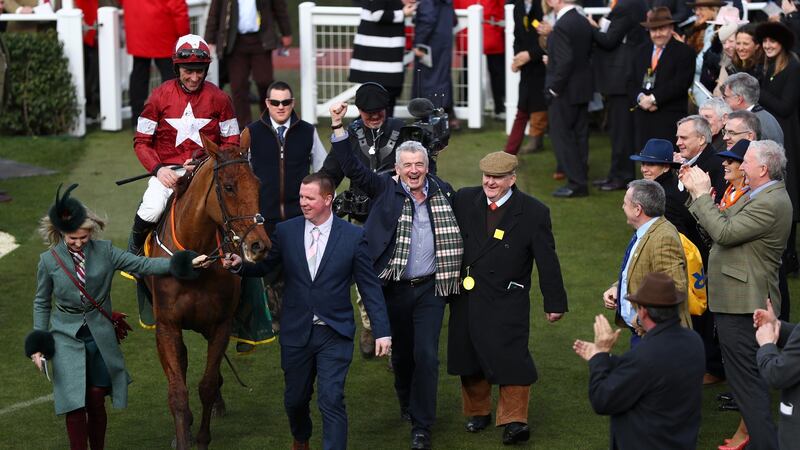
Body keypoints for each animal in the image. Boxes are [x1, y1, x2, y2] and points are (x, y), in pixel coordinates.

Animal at [144, 135, 268, 448]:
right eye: (229, 187)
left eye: (258, 183)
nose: (259, 245)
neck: (194, 260)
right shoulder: (167, 325)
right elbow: (178, 392)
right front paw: (183, 436)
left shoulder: (221, 324)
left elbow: (208, 385)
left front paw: (201, 437)